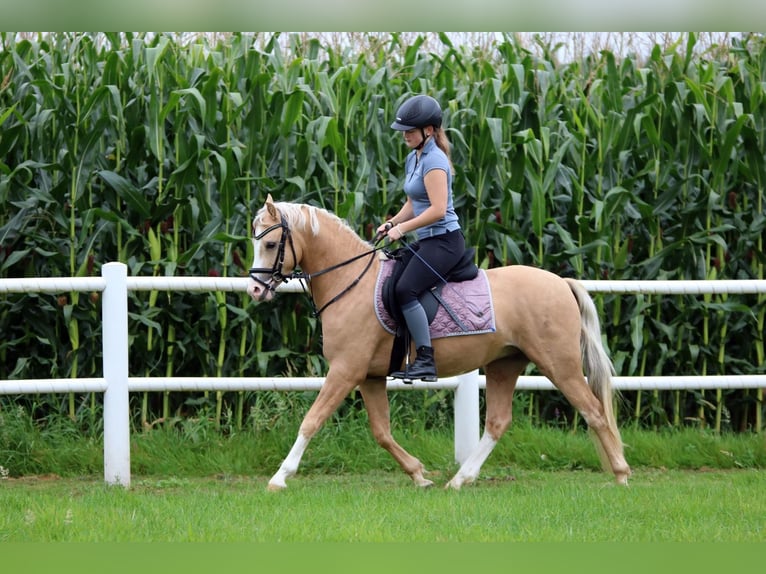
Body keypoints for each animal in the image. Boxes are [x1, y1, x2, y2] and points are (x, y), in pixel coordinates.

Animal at [246, 194, 631, 490]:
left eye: (270, 244)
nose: (254, 290)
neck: (350, 282)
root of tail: (561, 282)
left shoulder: (345, 370)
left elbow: (311, 420)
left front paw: (280, 477)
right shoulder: (369, 376)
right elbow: (381, 431)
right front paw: (419, 474)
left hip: (559, 364)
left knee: (594, 411)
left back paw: (621, 475)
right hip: (505, 363)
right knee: (498, 422)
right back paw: (460, 480)